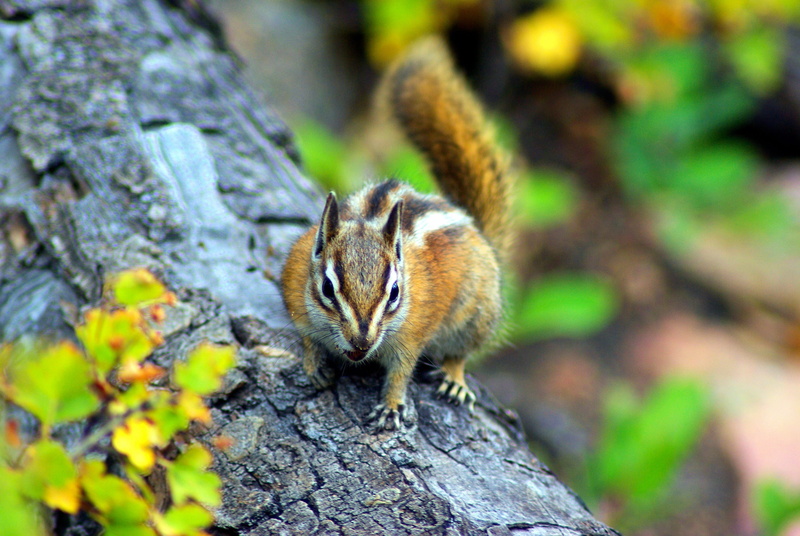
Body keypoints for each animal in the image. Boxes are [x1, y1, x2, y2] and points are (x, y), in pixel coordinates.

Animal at [281, 37, 513, 431]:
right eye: (326, 288)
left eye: (394, 294)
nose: (361, 343)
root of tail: (473, 225)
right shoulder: (297, 297)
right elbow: (307, 340)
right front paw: (314, 367)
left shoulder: (412, 332)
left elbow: (401, 371)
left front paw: (391, 405)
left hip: (476, 315)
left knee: (461, 352)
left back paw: (454, 379)